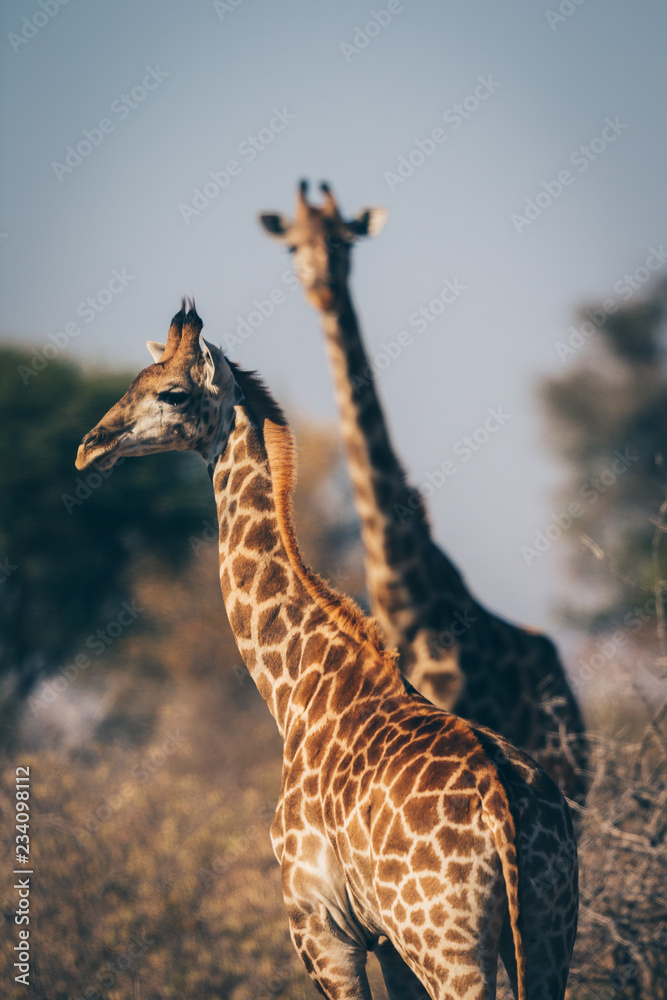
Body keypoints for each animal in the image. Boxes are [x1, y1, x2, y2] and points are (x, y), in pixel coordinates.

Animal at [76, 302, 578, 1000]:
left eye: (171, 392)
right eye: (136, 377)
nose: (88, 447)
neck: (296, 692)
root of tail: (507, 807)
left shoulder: (323, 931)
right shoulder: (386, 943)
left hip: (448, 947)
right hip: (547, 932)